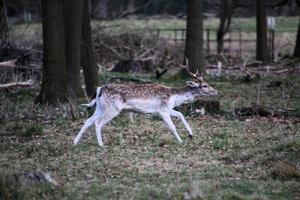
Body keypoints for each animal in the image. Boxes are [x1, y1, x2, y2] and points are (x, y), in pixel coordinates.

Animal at [72, 64, 218, 147]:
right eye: (205, 85)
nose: (215, 91)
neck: (174, 97)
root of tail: (99, 89)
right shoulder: (163, 110)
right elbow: (172, 127)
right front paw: (180, 141)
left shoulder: (165, 109)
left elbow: (181, 114)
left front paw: (191, 134)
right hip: (112, 109)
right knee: (98, 123)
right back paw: (101, 145)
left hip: (100, 107)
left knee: (88, 121)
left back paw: (75, 142)